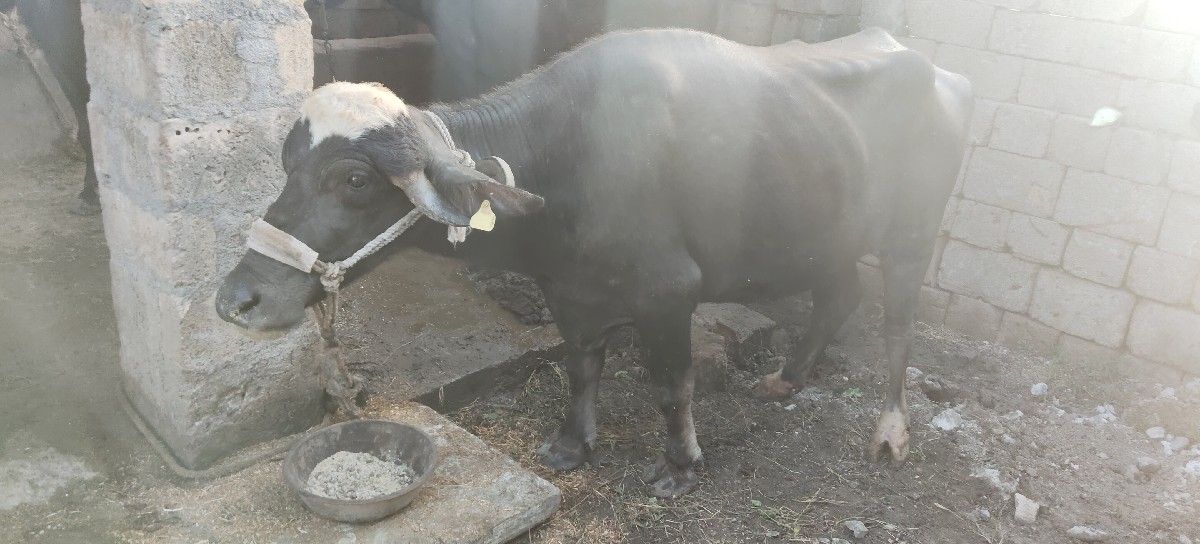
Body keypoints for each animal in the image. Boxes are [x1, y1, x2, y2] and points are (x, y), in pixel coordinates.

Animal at [216, 27, 973, 498]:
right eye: (287, 163)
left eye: (354, 180)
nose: (238, 300)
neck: (568, 162)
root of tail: (939, 72)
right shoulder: (568, 291)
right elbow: (581, 367)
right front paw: (570, 447)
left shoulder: (669, 293)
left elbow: (671, 385)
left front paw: (681, 468)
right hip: (824, 230)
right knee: (840, 293)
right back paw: (785, 379)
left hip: (913, 233)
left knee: (897, 324)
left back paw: (890, 431)